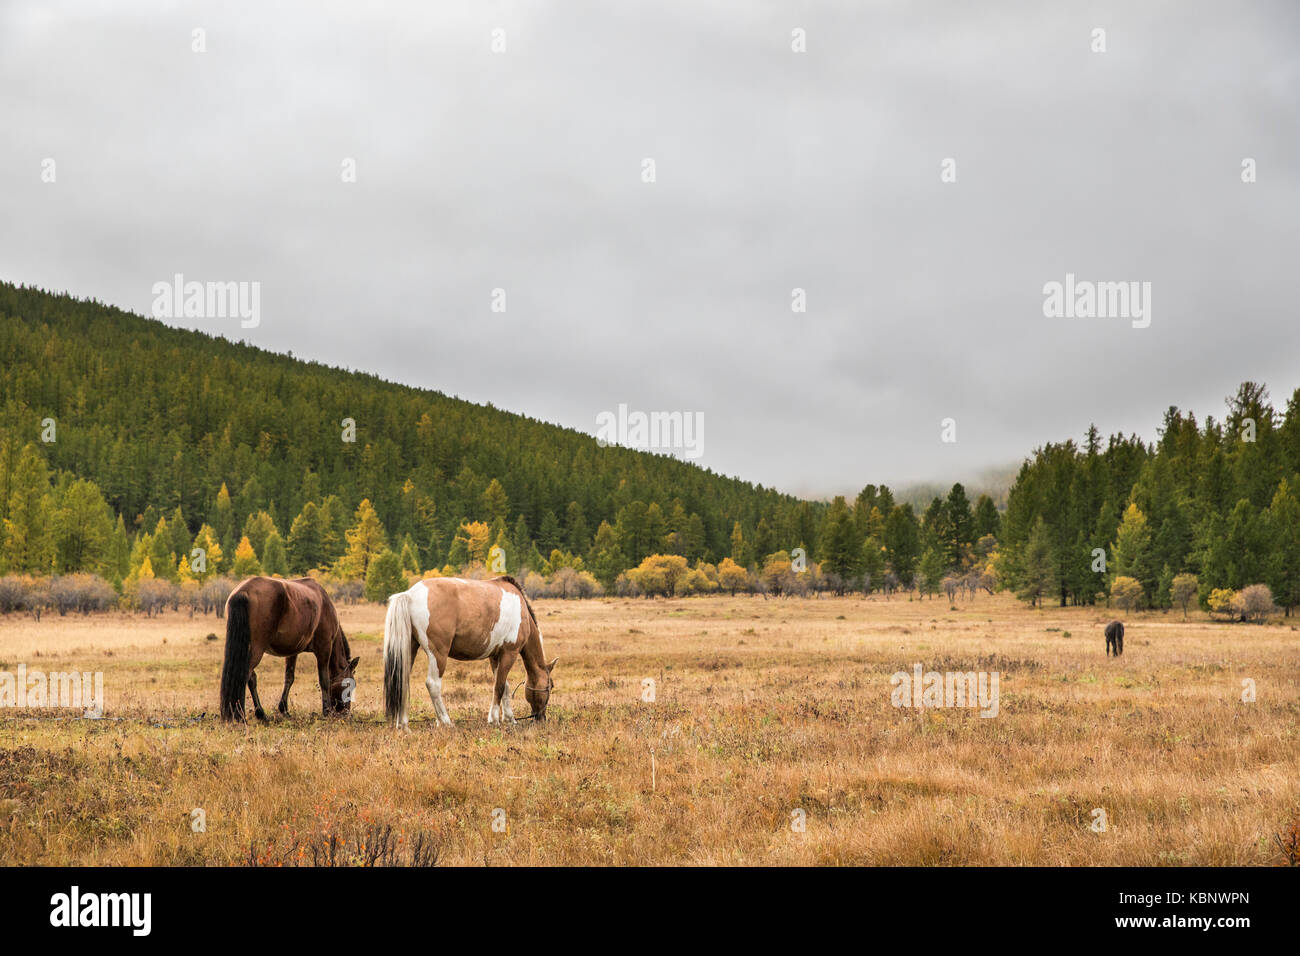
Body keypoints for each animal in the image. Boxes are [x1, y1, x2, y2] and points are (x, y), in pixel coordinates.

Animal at [219, 576, 359, 722]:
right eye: (350, 685)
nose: (345, 712)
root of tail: (243, 591)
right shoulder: (324, 648)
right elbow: (324, 680)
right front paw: (326, 710)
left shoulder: (292, 651)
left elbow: (289, 677)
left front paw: (284, 709)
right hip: (256, 649)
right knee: (246, 675)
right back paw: (247, 714)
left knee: (251, 677)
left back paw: (258, 713)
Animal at [382, 574, 556, 728]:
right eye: (550, 686)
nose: (541, 718)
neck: (520, 609)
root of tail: (410, 595)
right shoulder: (509, 653)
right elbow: (499, 686)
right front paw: (494, 719)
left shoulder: (495, 657)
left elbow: (503, 685)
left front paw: (510, 719)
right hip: (438, 655)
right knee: (433, 684)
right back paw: (446, 721)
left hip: (410, 650)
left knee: (403, 681)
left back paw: (403, 724)